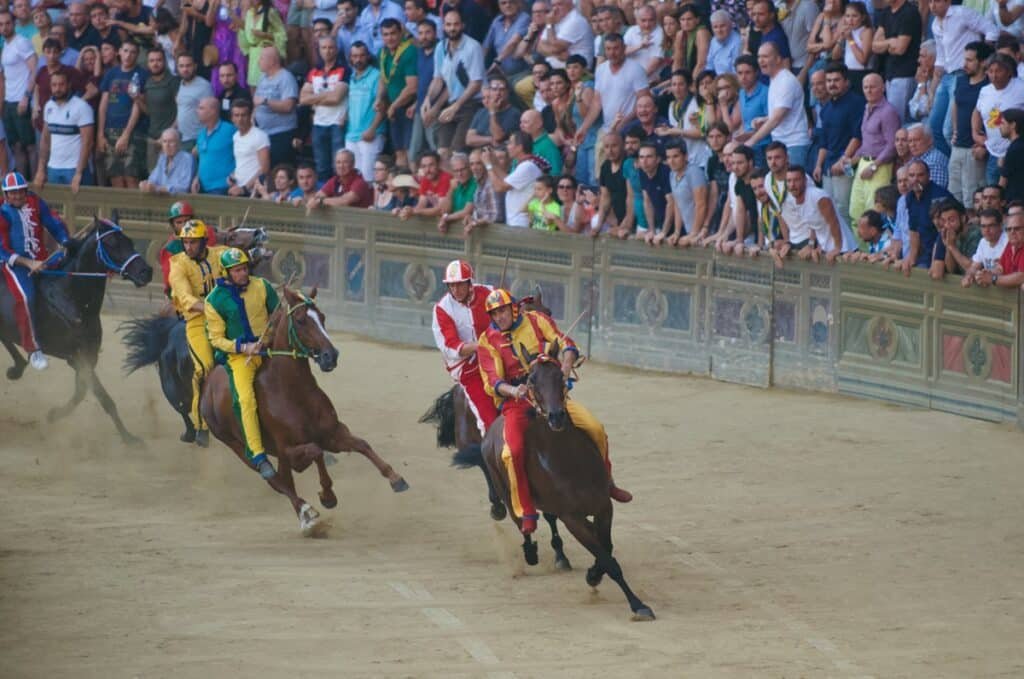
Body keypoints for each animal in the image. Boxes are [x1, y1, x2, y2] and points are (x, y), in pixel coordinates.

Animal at [0, 215, 153, 444]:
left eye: (130, 241)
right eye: (111, 243)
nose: (146, 272)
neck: (72, 297)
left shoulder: (86, 357)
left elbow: (83, 392)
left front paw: (54, 415)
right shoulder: (78, 356)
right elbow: (103, 397)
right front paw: (130, 439)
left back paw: (16, 368)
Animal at [199, 286, 407, 536]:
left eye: (323, 317)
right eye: (300, 320)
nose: (330, 355)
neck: (293, 394)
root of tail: (208, 382)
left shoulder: (332, 433)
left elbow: (361, 444)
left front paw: (396, 478)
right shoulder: (288, 448)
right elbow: (315, 452)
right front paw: (327, 496)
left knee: (283, 479)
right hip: (237, 446)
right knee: (275, 479)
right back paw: (305, 512)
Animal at [456, 340, 655, 622]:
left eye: (561, 376)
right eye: (531, 380)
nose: (556, 416)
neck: (568, 459)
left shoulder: (604, 506)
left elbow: (606, 546)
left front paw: (593, 574)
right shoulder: (571, 517)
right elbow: (608, 559)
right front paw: (637, 604)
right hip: (507, 491)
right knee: (521, 520)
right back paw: (530, 550)